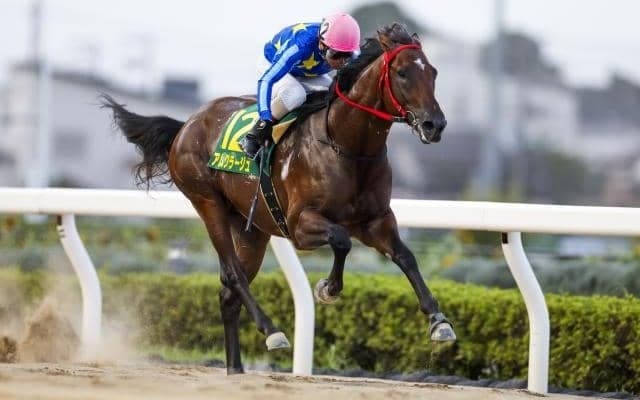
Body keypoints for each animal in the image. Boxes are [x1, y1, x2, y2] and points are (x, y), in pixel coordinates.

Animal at [102, 22, 455, 374]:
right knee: (233, 274)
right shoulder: (300, 224)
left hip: (251, 229)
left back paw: (235, 368)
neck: (346, 146)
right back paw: (272, 332)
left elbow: (406, 257)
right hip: (207, 202)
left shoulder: (375, 220)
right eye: (402, 72)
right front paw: (327, 289)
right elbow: (342, 241)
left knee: (227, 293)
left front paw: (439, 322)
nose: (434, 125)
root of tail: (186, 125)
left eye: (434, 72)